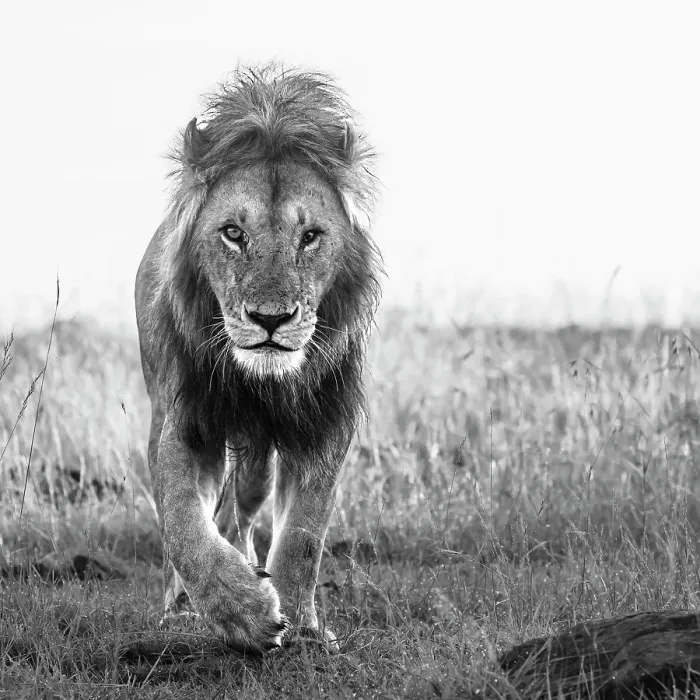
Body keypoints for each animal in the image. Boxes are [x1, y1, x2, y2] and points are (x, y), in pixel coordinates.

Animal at [134, 65, 382, 653]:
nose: (271, 319)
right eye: (233, 233)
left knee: (241, 513)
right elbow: (183, 524)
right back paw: (182, 607)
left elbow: (304, 536)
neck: (263, 384)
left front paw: (303, 626)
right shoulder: (188, 422)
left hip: (258, 467)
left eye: (310, 236)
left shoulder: (324, 425)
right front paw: (238, 610)